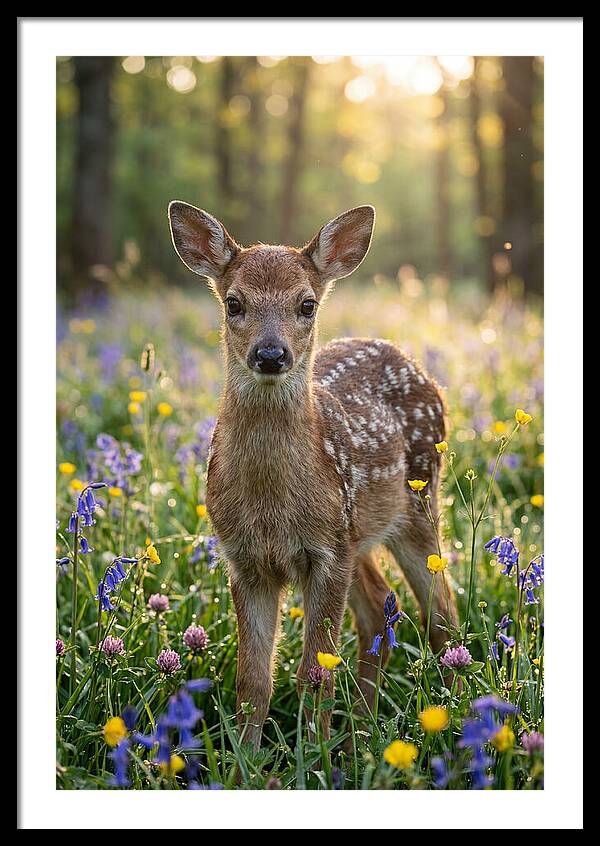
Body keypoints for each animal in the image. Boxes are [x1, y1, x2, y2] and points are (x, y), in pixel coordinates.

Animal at [168, 201, 457, 751]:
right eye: (233, 303)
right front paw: (246, 760)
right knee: (378, 608)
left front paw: (313, 756)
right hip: (358, 533)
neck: (271, 505)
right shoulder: (245, 559)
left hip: (416, 504)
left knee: (442, 616)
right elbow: (253, 679)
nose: (271, 354)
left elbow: (314, 672)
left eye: (306, 304)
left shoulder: (325, 552)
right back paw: (361, 732)